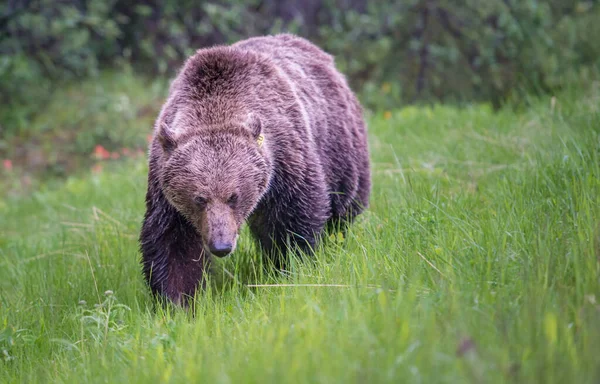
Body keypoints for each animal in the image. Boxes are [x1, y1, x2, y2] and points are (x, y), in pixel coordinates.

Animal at [140, 33, 370, 304]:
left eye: (233, 196)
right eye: (199, 199)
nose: (221, 246)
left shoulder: (286, 163)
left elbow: (294, 222)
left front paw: (288, 267)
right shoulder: (164, 187)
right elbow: (171, 243)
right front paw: (178, 300)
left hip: (340, 149)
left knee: (343, 207)